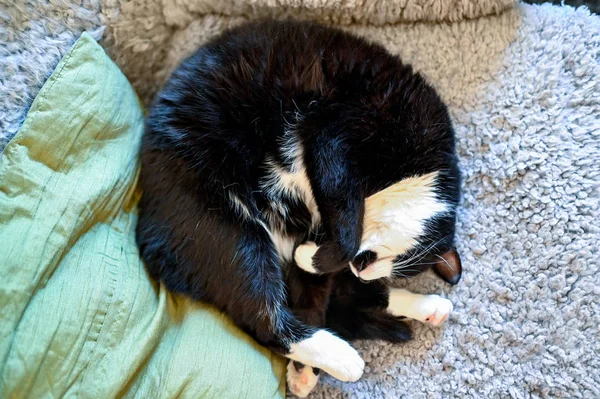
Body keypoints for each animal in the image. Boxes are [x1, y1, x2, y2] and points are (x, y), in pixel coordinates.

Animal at [137, 18, 464, 396]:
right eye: (399, 259)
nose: (363, 268)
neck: (422, 165)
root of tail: (145, 225)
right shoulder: (337, 133)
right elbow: (345, 227)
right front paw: (317, 256)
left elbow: (328, 284)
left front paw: (312, 259)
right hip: (225, 229)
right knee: (264, 317)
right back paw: (343, 359)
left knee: (338, 300)